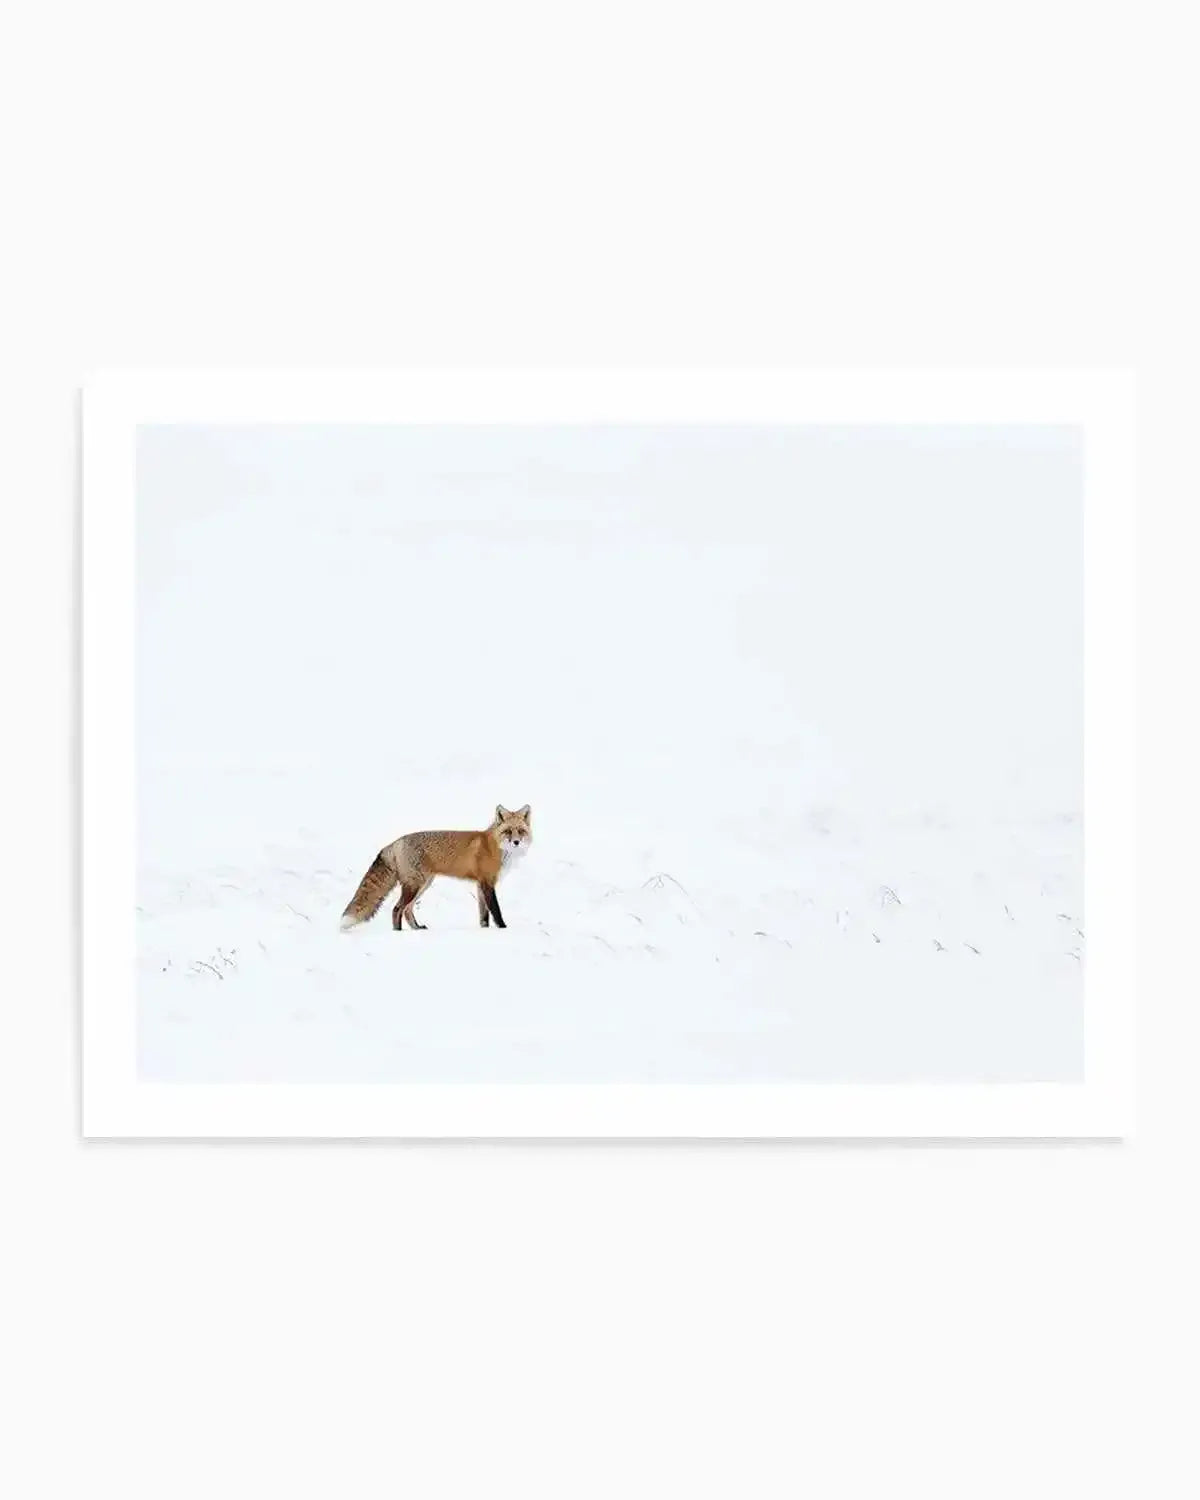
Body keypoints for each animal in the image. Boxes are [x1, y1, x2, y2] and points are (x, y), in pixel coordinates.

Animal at [340, 804, 532, 932]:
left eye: (521, 831)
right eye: (508, 831)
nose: (516, 842)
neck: (497, 847)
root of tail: (395, 842)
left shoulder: (480, 884)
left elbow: (483, 914)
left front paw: (484, 930)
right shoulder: (487, 882)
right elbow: (496, 910)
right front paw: (503, 928)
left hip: (423, 885)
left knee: (407, 909)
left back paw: (417, 928)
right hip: (415, 885)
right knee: (397, 909)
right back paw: (398, 933)